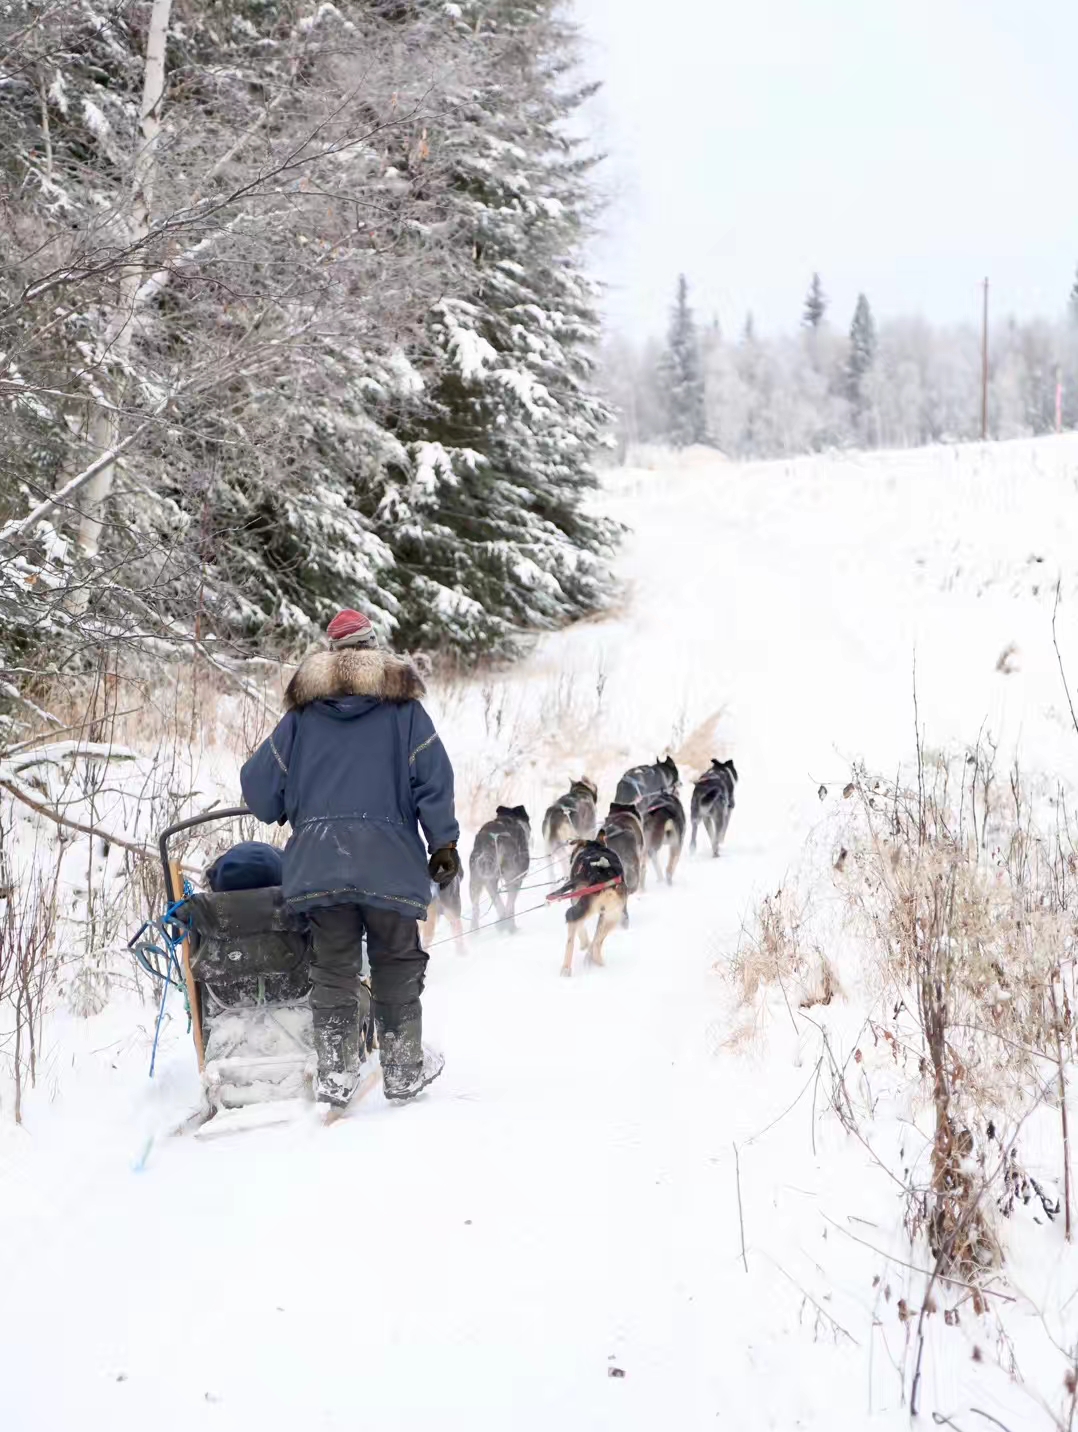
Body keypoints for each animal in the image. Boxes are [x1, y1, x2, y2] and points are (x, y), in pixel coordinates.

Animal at [549, 836, 627, 979]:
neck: (594, 846)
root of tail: (604, 870)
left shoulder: (575, 901)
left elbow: (581, 928)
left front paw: (584, 944)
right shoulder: (604, 915)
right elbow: (596, 937)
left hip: (583, 908)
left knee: (572, 931)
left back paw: (566, 968)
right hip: (613, 917)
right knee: (597, 943)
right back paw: (597, 962)